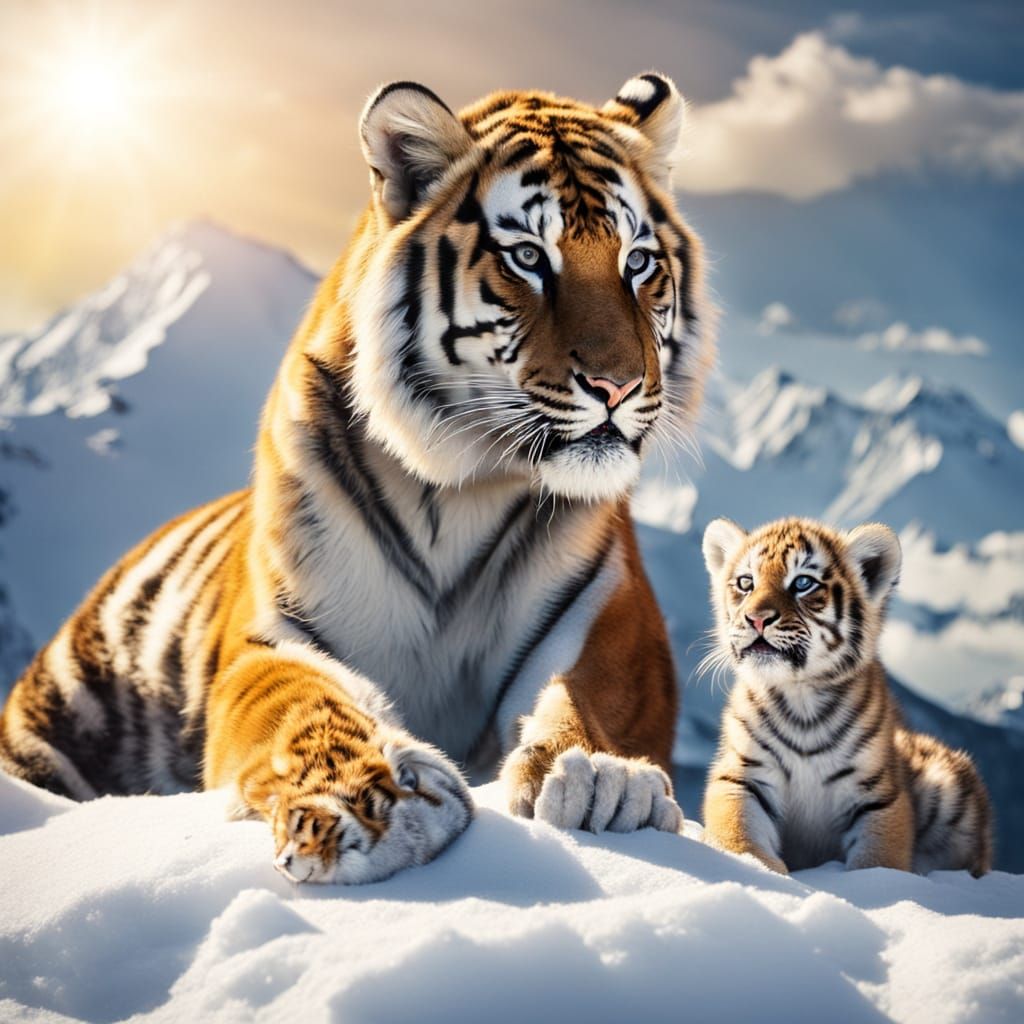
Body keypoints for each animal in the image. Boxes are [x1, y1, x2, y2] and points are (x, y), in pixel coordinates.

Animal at [0, 73, 713, 882]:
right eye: (529, 257)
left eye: (638, 262)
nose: (617, 386)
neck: (457, 486)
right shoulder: (271, 633)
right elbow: (299, 700)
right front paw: (366, 800)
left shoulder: (608, 618)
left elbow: (586, 696)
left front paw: (603, 780)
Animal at [699, 516, 992, 876]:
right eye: (745, 582)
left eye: (802, 583)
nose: (756, 618)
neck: (801, 696)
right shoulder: (742, 775)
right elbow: (737, 832)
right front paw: (759, 869)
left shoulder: (877, 794)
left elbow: (879, 857)